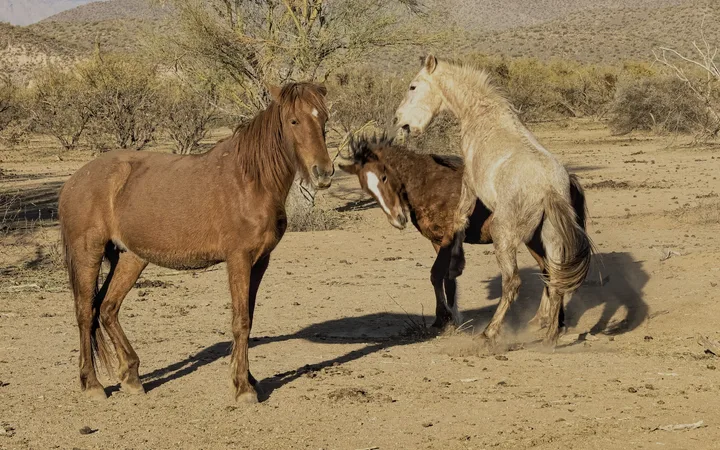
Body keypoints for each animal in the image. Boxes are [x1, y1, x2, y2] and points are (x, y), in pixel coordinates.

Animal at [58, 82, 333, 403]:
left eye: (324, 119)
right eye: (294, 121)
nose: (324, 172)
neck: (251, 181)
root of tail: (75, 180)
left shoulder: (260, 261)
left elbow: (249, 318)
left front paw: (250, 380)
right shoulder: (239, 259)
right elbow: (241, 321)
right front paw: (243, 388)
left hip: (131, 257)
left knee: (108, 308)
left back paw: (132, 377)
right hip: (87, 254)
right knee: (85, 312)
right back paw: (92, 384)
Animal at [338, 134, 587, 332]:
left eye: (384, 176)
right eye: (366, 188)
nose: (398, 219)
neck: (429, 183)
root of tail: (565, 182)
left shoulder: (449, 236)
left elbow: (436, 274)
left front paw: (443, 318)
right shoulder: (438, 241)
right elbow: (446, 279)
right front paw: (451, 318)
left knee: (552, 272)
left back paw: (553, 322)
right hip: (534, 241)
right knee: (548, 272)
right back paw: (543, 320)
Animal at [394, 55, 593, 347]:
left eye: (413, 86)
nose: (400, 120)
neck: (481, 114)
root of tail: (549, 189)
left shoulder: (469, 180)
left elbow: (462, 212)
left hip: (505, 237)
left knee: (512, 282)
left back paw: (490, 332)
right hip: (550, 239)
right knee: (554, 278)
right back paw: (550, 336)